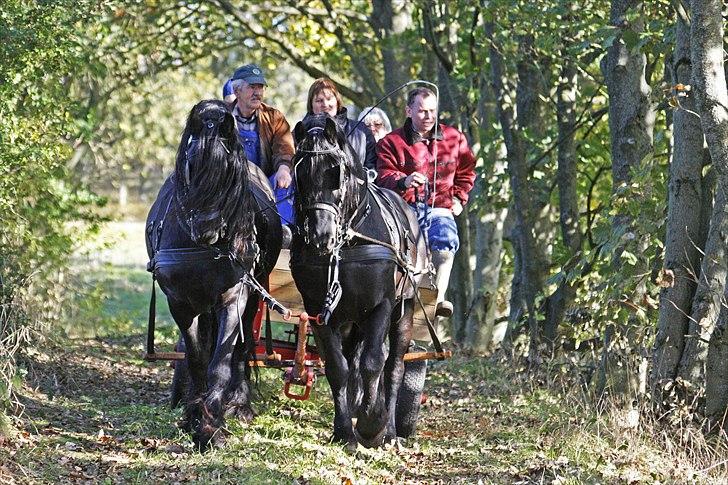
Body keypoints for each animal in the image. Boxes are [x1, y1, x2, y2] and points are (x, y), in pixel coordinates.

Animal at [146, 100, 282, 452]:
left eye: (229, 168)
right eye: (192, 163)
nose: (206, 227)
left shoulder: (234, 296)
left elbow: (220, 362)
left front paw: (211, 426)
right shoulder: (180, 303)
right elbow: (196, 358)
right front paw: (193, 414)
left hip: (253, 296)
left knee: (242, 349)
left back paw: (240, 403)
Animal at [290, 112, 426, 446]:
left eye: (335, 172)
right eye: (300, 173)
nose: (320, 235)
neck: (349, 242)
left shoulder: (382, 306)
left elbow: (374, 363)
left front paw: (371, 423)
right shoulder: (319, 311)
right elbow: (338, 368)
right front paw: (344, 431)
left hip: (404, 310)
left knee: (393, 367)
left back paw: (389, 430)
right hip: (349, 319)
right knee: (352, 361)